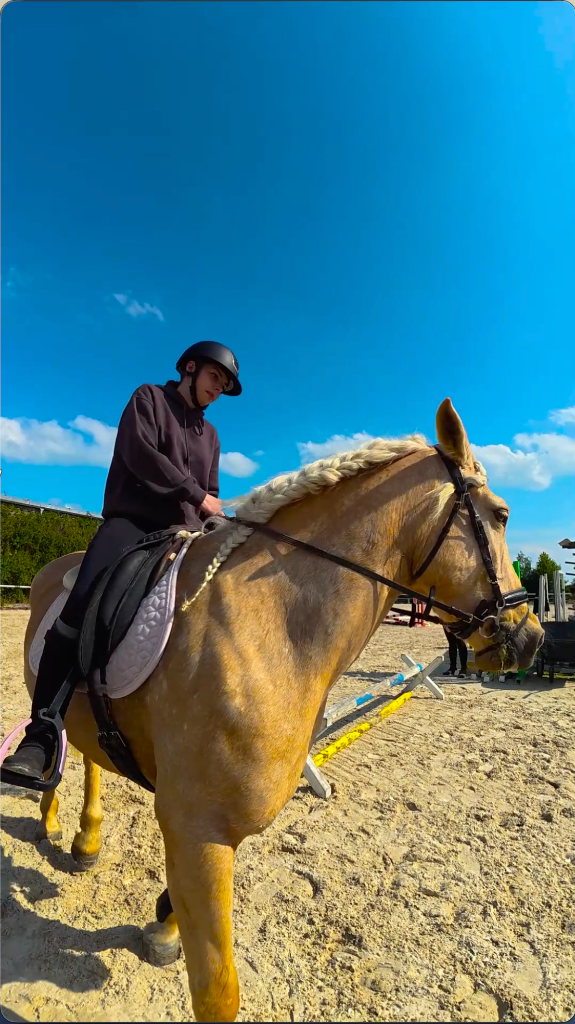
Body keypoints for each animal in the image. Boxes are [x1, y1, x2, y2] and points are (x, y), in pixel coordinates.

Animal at [16, 399, 543, 1022]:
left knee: (91, 755)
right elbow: (219, 994)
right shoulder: (197, 828)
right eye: (501, 514)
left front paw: (164, 927)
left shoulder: (203, 829)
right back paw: (47, 805)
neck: (269, 624)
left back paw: (85, 841)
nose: (531, 638)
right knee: (55, 736)